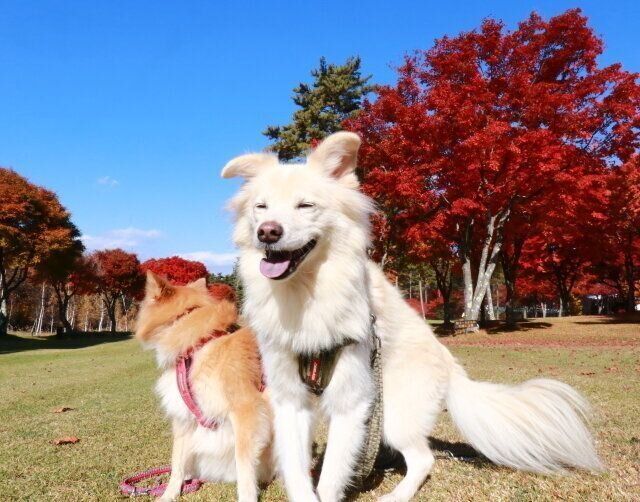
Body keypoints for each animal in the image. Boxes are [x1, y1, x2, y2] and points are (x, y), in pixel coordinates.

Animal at [135, 272, 274, 501]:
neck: (197, 345)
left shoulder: (246, 410)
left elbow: (244, 463)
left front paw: (247, 495)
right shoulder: (184, 417)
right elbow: (176, 461)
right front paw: (169, 494)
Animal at [220, 132, 603, 502]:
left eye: (305, 206)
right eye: (261, 207)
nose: (268, 231)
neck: (305, 294)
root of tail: (449, 362)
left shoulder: (351, 401)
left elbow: (329, 481)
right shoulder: (290, 400)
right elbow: (299, 477)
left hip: (394, 413)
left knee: (423, 459)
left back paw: (395, 495)